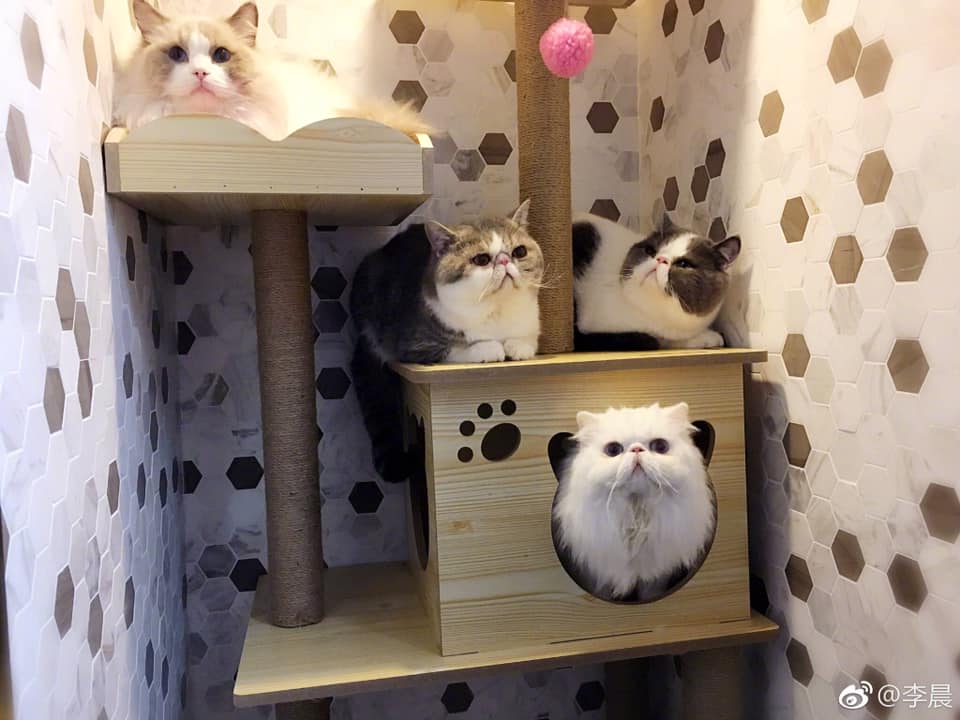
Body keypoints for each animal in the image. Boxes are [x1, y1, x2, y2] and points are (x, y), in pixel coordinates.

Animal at [350, 201, 543, 482]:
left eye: (519, 251)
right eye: (482, 259)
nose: (505, 260)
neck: (497, 312)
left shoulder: (530, 323)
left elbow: (527, 339)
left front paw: (517, 347)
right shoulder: (416, 345)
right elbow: (458, 348)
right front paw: (490, 348)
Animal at [552, 403, 716, 601]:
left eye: (660, 446)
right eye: (613, 450)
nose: (637, 449)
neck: (636, 514)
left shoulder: (656, 578)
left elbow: (650, 593)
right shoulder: (595, 574)